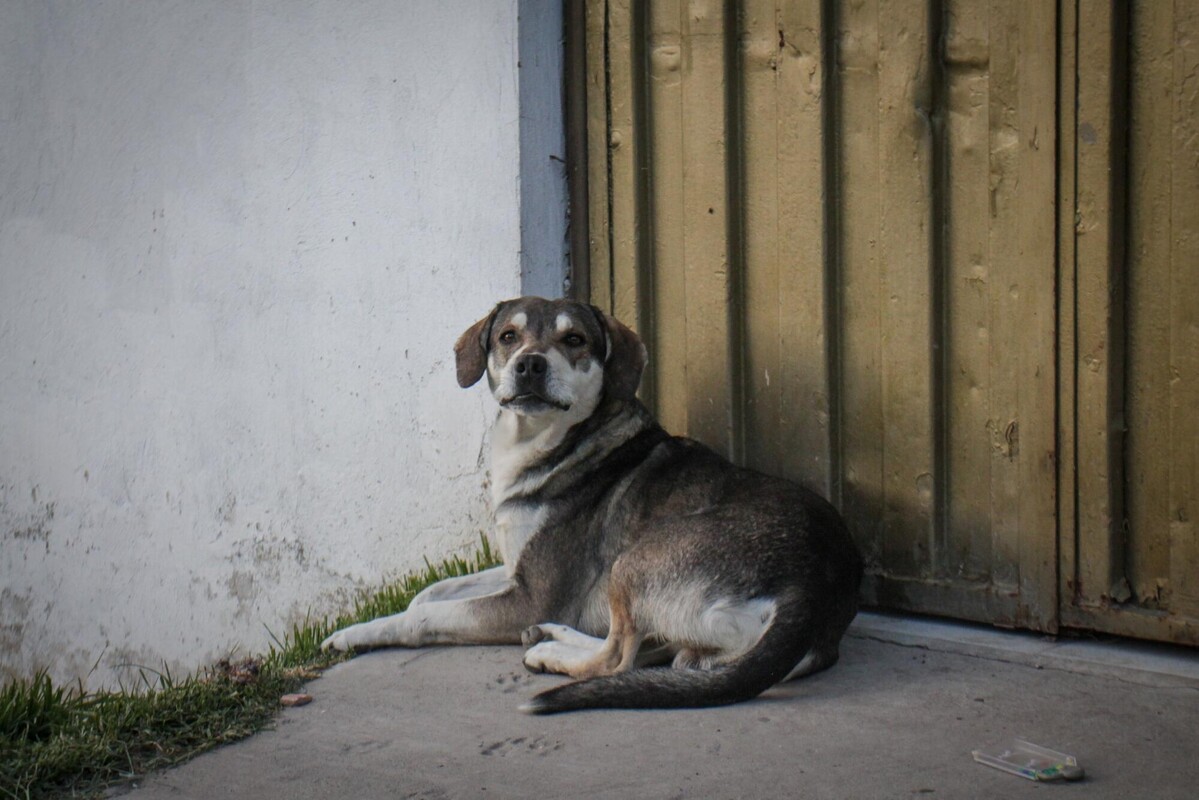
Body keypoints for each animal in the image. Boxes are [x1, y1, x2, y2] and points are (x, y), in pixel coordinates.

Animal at [321, 296, 863, 714]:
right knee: (656, 653)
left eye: (574, 340)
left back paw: (552, 654)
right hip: (697, 640)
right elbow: (432, 592)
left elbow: (424, 617)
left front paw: (355, 635)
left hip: (635, 561)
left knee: (617, 657)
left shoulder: (530, 597)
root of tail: (814, 585)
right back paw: (552, 636)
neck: (542, 443)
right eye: (508, 336)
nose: (530, 364)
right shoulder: (517, 571)